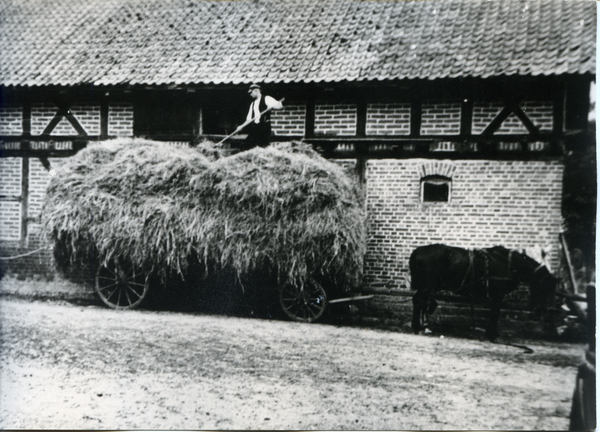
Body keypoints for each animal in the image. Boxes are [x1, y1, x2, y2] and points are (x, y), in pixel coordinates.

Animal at [410, 243, 556, 340]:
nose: (540, 310)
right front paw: (492, 334)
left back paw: (420, 326)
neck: (508, 264)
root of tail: (417, 251)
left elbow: (494, 312)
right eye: (544, 287)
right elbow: (495, 312)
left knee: (420, 301)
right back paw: (417, 327)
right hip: (427, 285)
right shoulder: (498, 294)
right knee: (418, 301)